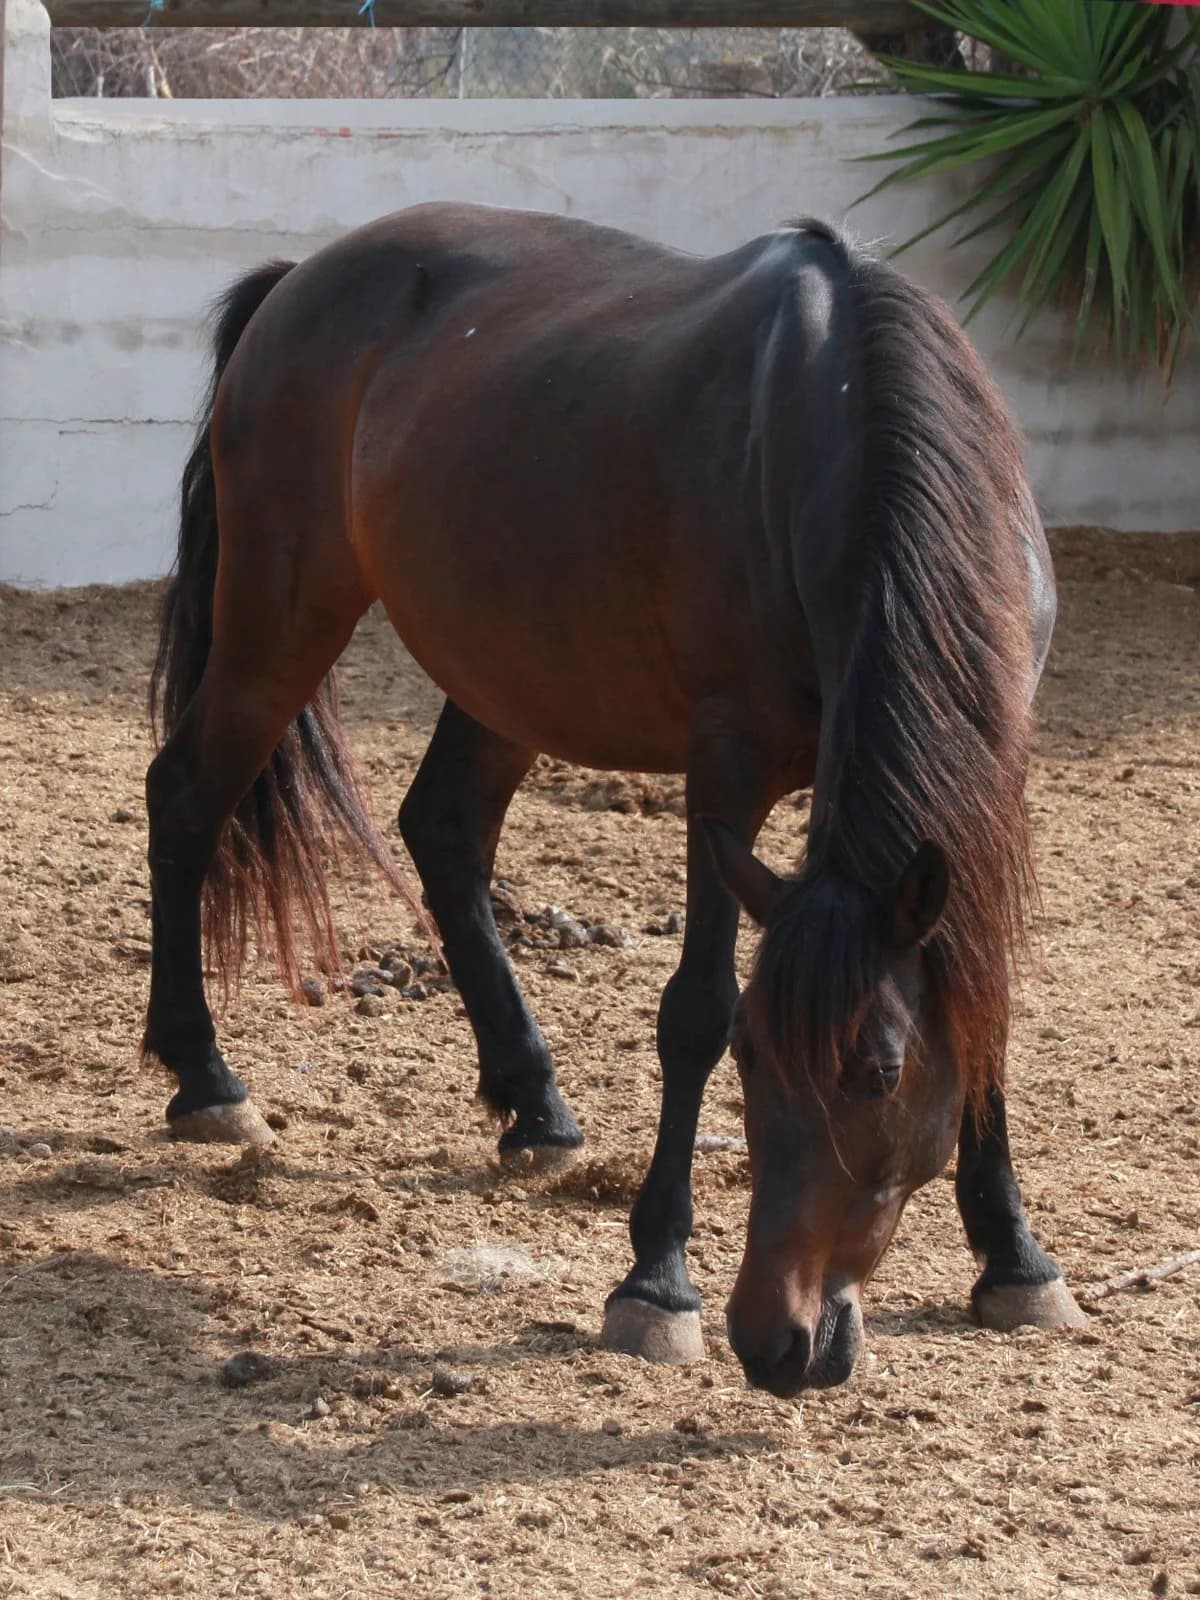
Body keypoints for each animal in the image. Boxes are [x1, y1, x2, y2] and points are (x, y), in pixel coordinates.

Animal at [143, 203, 1084, 1397]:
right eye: (754, 1064)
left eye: (877, 1072)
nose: (776, 1341)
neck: (844, 427)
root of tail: (301, 280)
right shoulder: (727, 769)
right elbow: (694, 1010)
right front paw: (657, 1281)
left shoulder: (999, 777)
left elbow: (985, 1002)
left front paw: (1015, 1256)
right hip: (281, 619)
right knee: (186, 797)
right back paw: (204, 1077)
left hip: (501, 672)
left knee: (443, 832)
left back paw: (534, 1104)